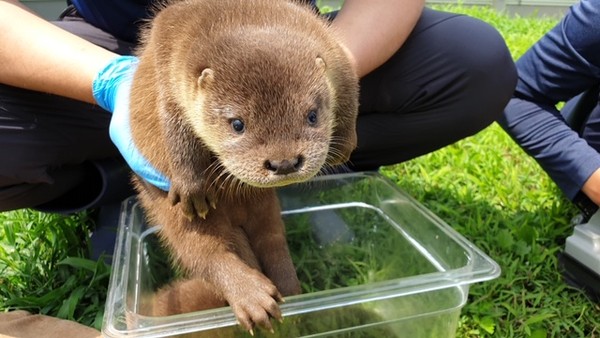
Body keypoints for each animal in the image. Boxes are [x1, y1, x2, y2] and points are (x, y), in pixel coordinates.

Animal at [129, 0, 358, 332]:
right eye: (237, 124)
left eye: (313, 115)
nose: (284, 163)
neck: (243, 17)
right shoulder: (170, 69)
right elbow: (174, 127)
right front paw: (191, 186)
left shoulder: (337, 55)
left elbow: (352, 96)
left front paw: (344, 145)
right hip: (167, 211)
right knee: (206, 253)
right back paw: (254, 298)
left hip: (266, 209)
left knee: (273, 241)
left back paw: (289, 291)